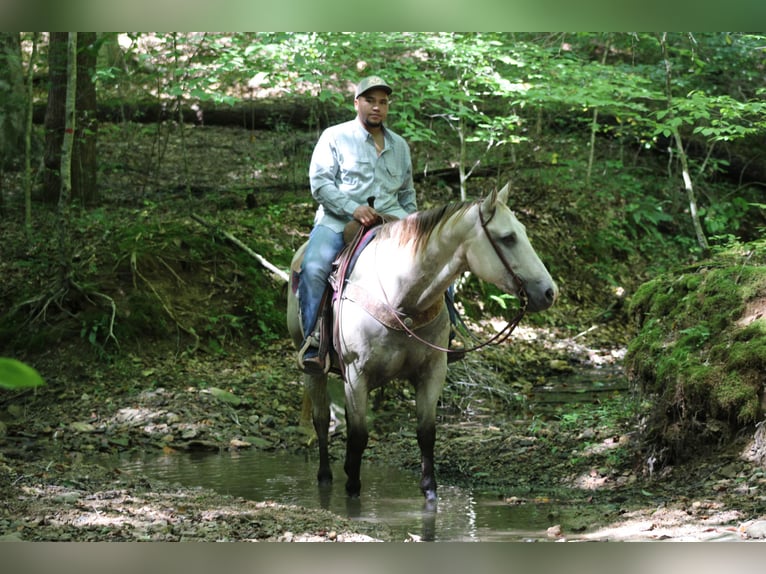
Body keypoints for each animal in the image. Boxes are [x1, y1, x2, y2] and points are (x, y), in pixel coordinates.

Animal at [286, 184, 560, 504]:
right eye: (508, 237)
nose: (549, 292)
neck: (401, 296)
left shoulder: (432, 371)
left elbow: (426, 433)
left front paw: (430, 491)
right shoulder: (356, 375)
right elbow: (358, 437)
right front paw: (352, 488)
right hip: (312, 369)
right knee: (320, 420)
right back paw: (325, 475)